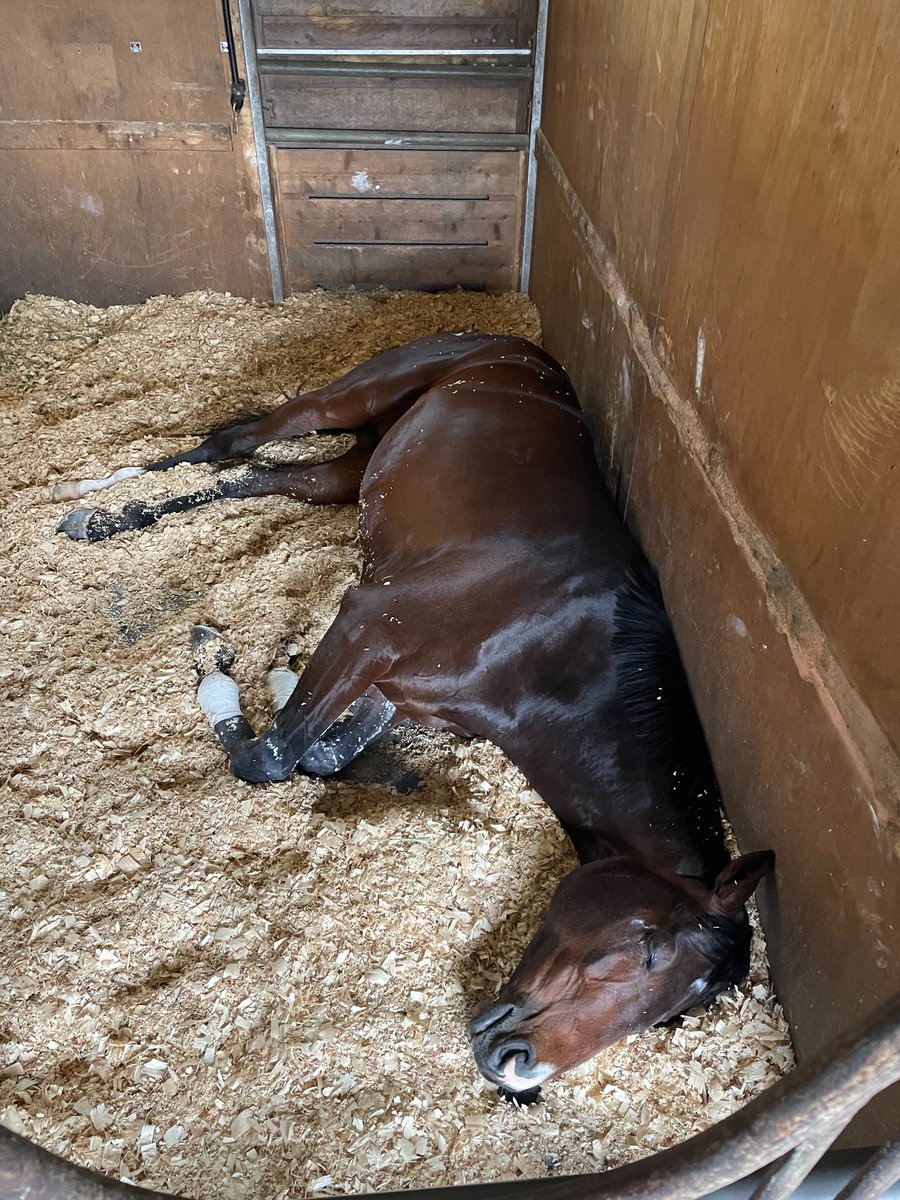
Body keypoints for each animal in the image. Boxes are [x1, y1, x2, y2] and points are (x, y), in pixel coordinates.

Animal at [53, 330, 774, 1100]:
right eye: (649, 949)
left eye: (674, 1014)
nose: (516, 1065)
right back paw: (88, 505)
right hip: (352, 398)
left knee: (259, 478)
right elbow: (269, 759)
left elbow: (317, 752)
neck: (553, 650)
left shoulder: (399, 692)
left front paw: (277, 672)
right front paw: (215, 672)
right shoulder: (369, 629)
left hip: (357, 465)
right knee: (233, 443)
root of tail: (514, 345)